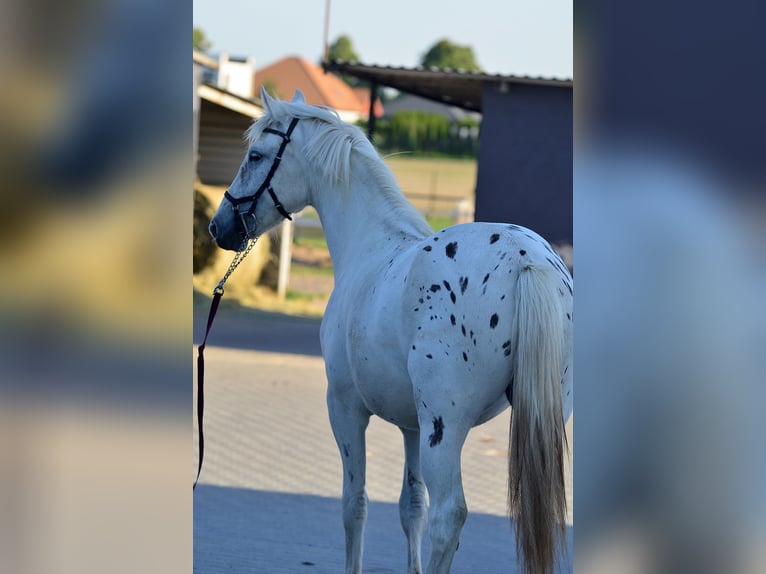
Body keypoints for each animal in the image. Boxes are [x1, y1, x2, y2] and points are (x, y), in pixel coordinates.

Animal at [207, 88, 572, 572]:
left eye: (255, 155)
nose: (218, 226)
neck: (371, 245)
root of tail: (527, 260)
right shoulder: (412, 426)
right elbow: (410, 507)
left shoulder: (345, 409)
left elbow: (355, 504)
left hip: (445, 428)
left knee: (449, 515)